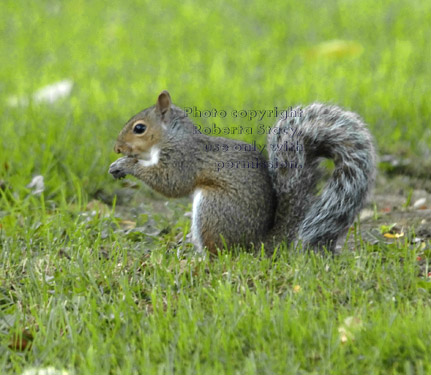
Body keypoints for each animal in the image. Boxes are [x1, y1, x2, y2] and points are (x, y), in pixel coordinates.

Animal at [109, 91, 376, 256]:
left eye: (139, 128)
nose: (117, 148)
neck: (172, 137)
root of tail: (257, 245)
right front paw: (120, 163)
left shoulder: (183, 160)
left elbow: (171, 183)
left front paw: (128, 165)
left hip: (213, 208)